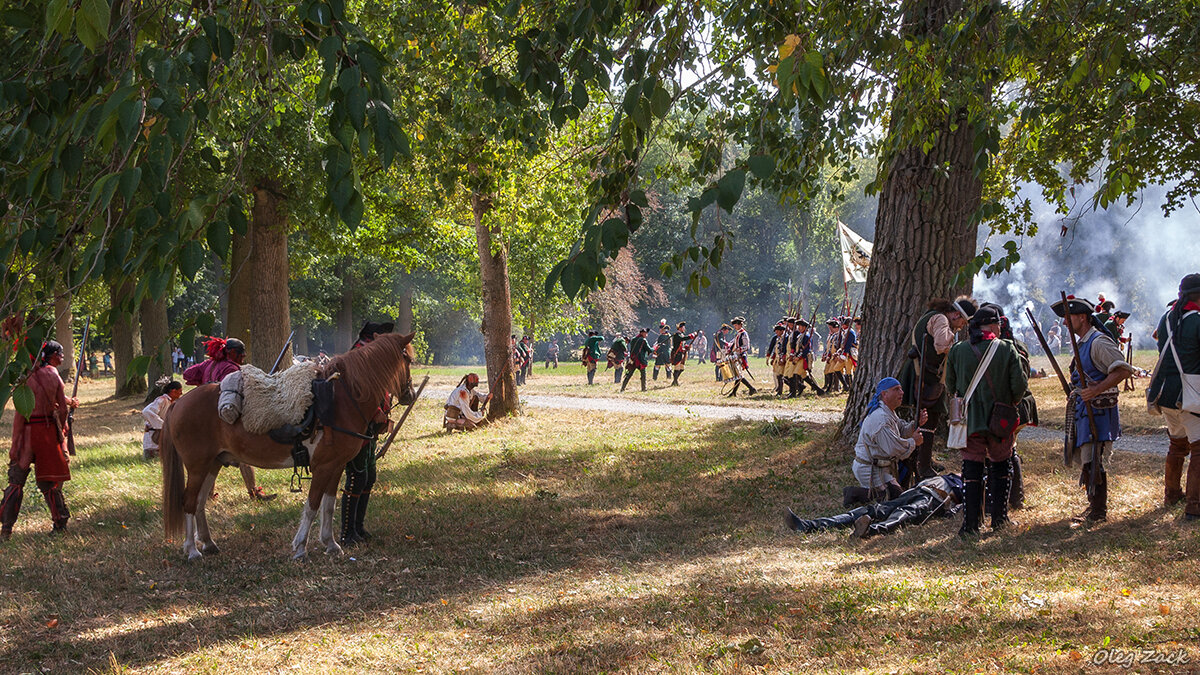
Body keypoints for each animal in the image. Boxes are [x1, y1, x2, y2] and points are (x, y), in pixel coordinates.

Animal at [162, 329, 417, 557]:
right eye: (408, 359)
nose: (411, 394)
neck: (342, 400)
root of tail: (179, 403)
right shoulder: (323, 467)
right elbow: (312, 505)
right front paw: (301, 547)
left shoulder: (335, 467)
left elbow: (329, 506)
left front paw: (331, 544)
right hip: (197, 466)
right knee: (189, 502)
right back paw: (192, 550)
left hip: (212, 464)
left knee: (199, 502)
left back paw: (208, 542)